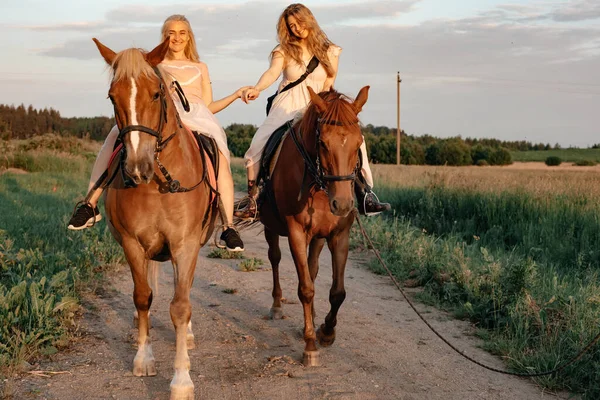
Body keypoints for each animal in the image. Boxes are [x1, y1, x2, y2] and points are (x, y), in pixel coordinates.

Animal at [92, 36, 217, 396]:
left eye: (157, 94)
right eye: (112, 96)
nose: (137, 167)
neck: (159, 182)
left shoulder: (185, 245)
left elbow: (180, 305)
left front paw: (181, 380)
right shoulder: (132, 243)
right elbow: (142, 296)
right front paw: (143, 359)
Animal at [256, 86, 366, 368]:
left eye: (358, 143)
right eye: (323, 143)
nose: (343, 203)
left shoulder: (339, 235)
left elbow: (337, 292)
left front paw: (326, 332)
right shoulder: (296, 232)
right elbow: (305, 289)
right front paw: (310, 345)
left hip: (318, 236)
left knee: (313, 268)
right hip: (272, 227)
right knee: (275, 258)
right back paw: (277, 306)